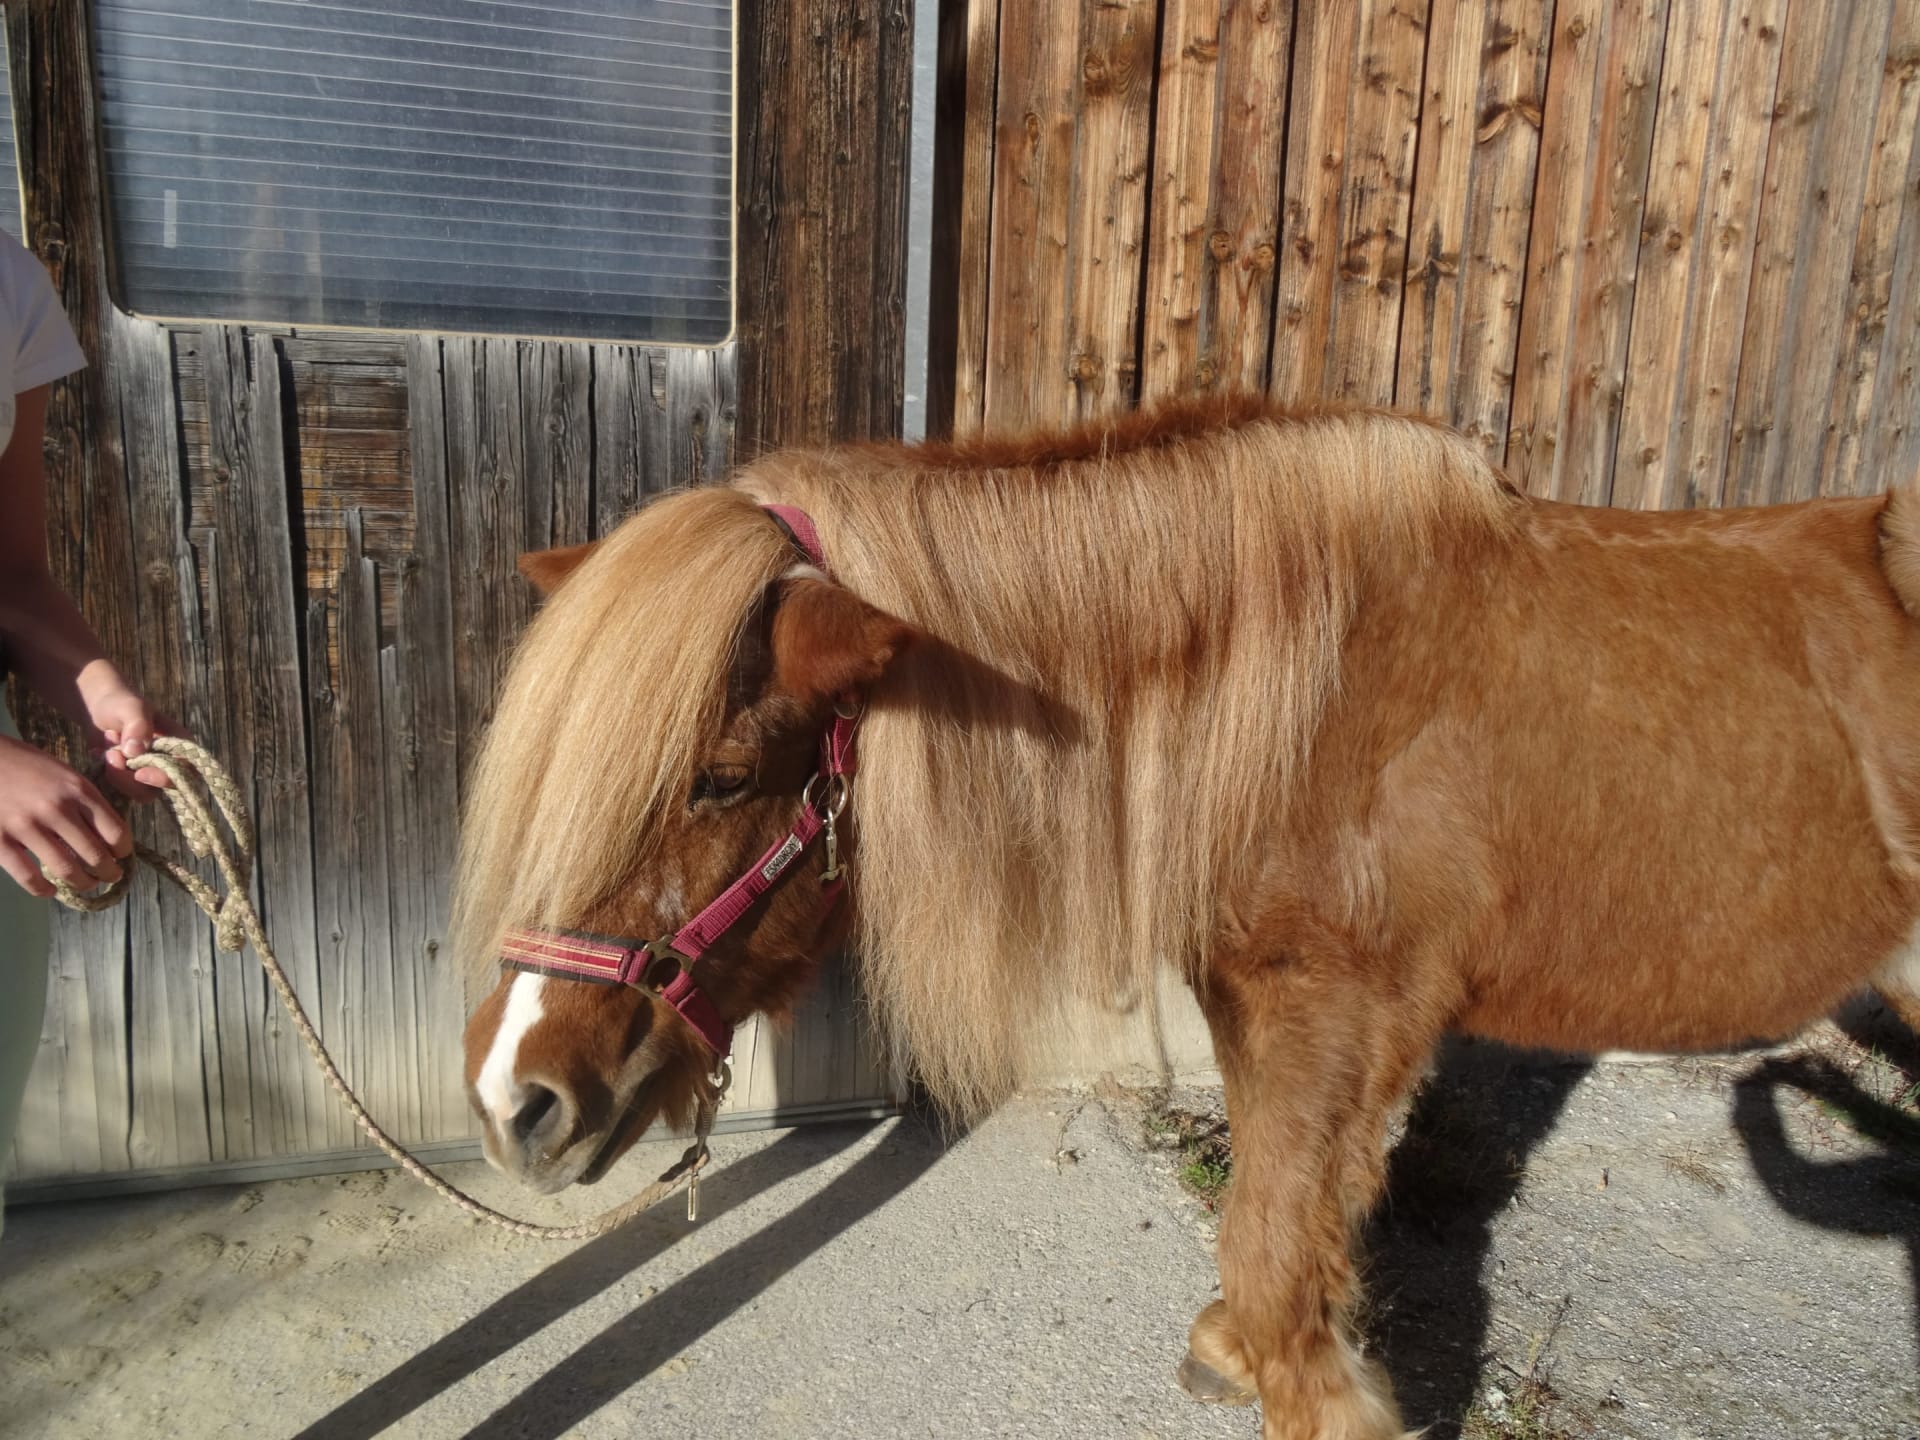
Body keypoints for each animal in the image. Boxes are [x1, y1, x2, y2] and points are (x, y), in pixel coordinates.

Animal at [455, 396, 1920, 1440]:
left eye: (717, 776)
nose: (511, 1096)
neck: (1316, 696)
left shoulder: (1346, 1007)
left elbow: (1279, 1222)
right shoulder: (1257, 999)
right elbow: (1277, 1201)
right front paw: (1247, 1349)